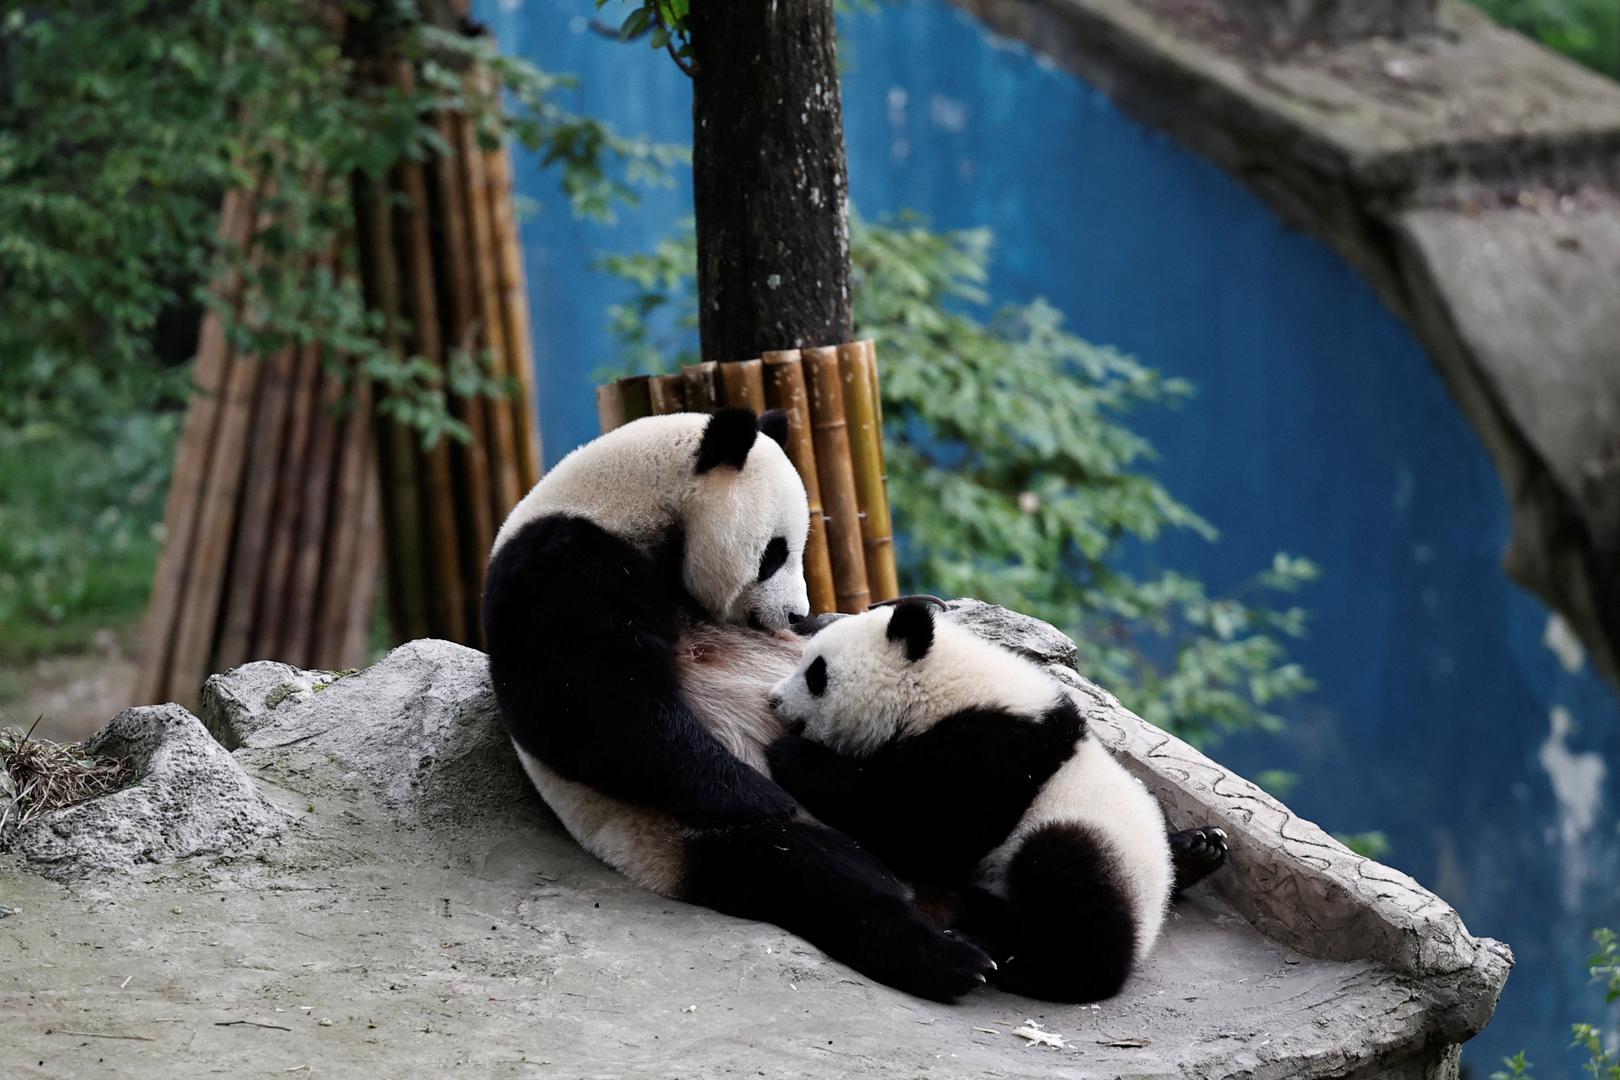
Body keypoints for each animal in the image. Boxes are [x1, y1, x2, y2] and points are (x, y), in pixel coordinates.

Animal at [482, 409, 995, 1002]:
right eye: (776, 552)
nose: (794, 614)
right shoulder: (560, 566)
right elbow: (594, 707)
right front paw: (758, 795)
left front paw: (908, 606)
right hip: (680, 839)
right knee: (815, 875)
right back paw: (951, 958)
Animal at [765, 596, 1228, 1003]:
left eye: (817, 675)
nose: (773, 699)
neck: (941, 688)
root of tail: (1154, 911)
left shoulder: (993, 753)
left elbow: (921, 829)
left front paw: (793, 756)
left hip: (1095, 846)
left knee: (1068, 880)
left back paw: (1035, 970)